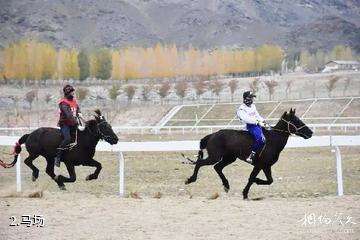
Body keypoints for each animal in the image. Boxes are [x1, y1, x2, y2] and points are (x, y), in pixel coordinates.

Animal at [184, 109, 314, 199]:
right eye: (296, 120)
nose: (311, 133)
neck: (273, 140)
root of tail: (212, 135)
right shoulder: (259, 165)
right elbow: (252, 178)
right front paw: (245, 193)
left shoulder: (266, 166)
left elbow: (269, 180)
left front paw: (255, 182)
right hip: (214, 157)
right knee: (200, 163)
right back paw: (190, 179)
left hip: (229, 158)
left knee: (217, 167)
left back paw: (226, 185)